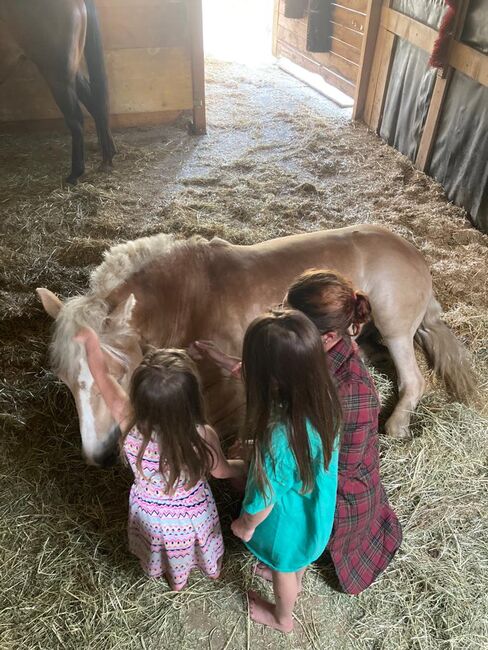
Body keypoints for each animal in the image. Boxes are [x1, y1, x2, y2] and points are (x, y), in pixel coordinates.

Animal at [0, 0, 115, 182]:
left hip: (57, 76)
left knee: (76, 120)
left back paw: (75, 173)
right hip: (69, 72)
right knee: (95, 104)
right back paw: (107, 156)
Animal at [36, 224, 474, 466]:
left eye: (118, 371)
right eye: (65, 380)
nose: (98, 455)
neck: (192, 297)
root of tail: (414, 254)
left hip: (394, 326)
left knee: (413, 379)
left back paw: (396, 425)